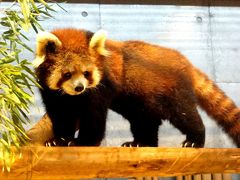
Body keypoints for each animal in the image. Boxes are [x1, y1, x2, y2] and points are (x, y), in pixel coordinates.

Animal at [33, 27, 240, 146]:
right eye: (67, 74)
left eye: (86, 73)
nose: (79, 88)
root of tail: (186, 62)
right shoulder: (52, 94)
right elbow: (61, 115)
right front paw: (59, 139)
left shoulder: (101, 86)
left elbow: (93, 116)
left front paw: (83, 142)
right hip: (141, 101)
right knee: (145, 120)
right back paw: (142, 143)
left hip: (171, 91)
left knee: (184, 114)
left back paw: (194, 140)